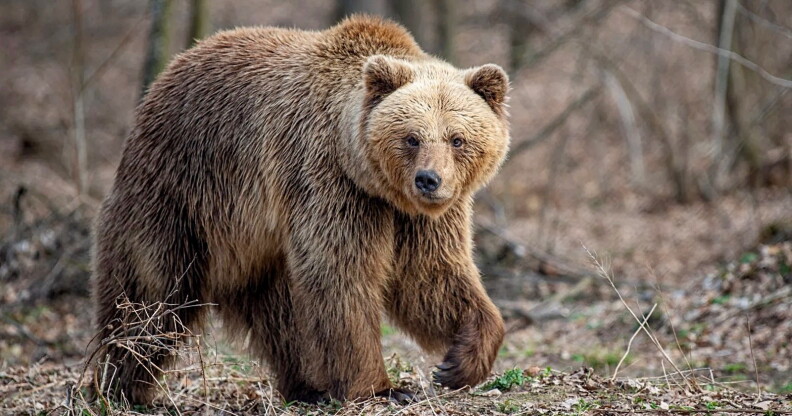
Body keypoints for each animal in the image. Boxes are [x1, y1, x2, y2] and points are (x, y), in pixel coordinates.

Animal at [91, 15, 509, 404]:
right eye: (411, 137)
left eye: (457, 139)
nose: (428, 179)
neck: (369, 177)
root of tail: (162, 79)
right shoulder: (326, 180)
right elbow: (340, 275)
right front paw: (383, 388)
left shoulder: (415, 217)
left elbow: (431, 277)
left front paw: (459, 362)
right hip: (177, 193)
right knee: (151, 295)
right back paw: (120, 387)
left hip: (255, 241)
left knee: (280, 313)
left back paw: (308, 386)